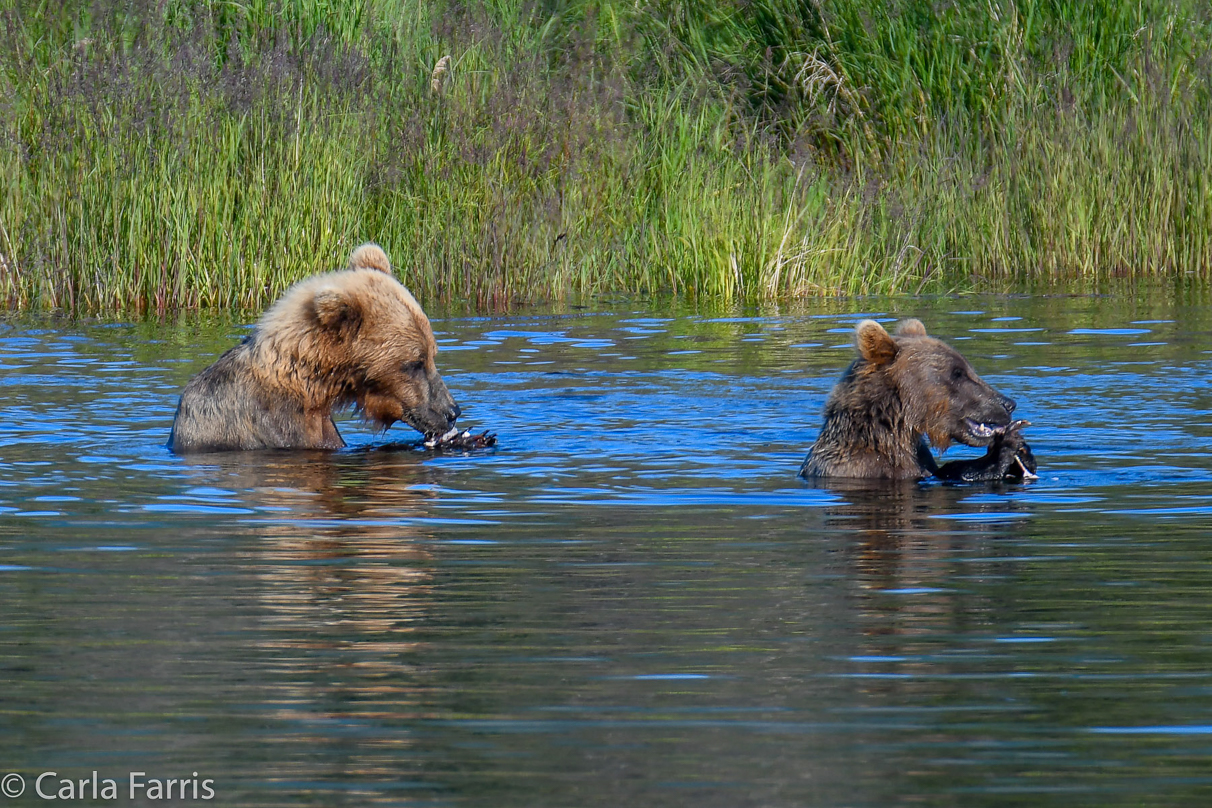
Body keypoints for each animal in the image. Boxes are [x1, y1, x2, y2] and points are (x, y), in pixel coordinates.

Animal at [799, 314, 1037, 479]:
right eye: (957, 373)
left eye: (968, 368)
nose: (1008, 404)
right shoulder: (862, 469)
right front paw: (1004, 446)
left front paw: (1022, 452)